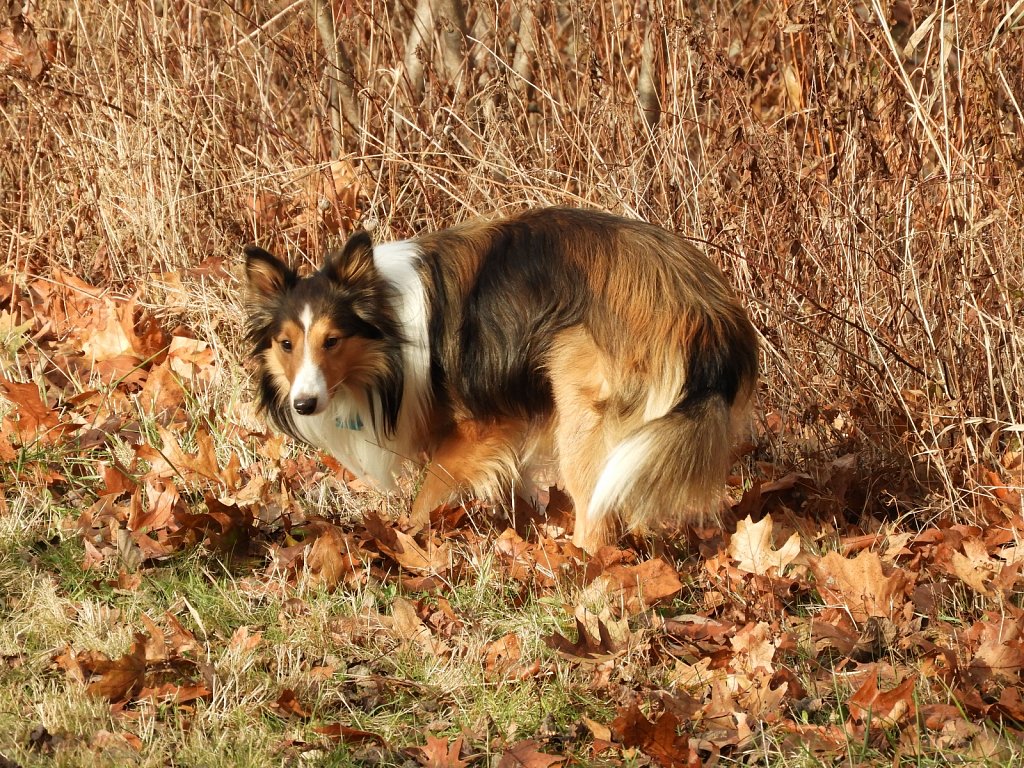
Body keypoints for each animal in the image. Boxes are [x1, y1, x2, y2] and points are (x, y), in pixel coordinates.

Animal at [243, 207, 757, 548]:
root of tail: (707, 313)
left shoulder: (484, 425)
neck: (392, 332)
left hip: (583, 416)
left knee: (595, 517)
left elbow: (428, 492)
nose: (304, 404)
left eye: (332, 340)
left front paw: (410, 538)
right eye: (286, 343)